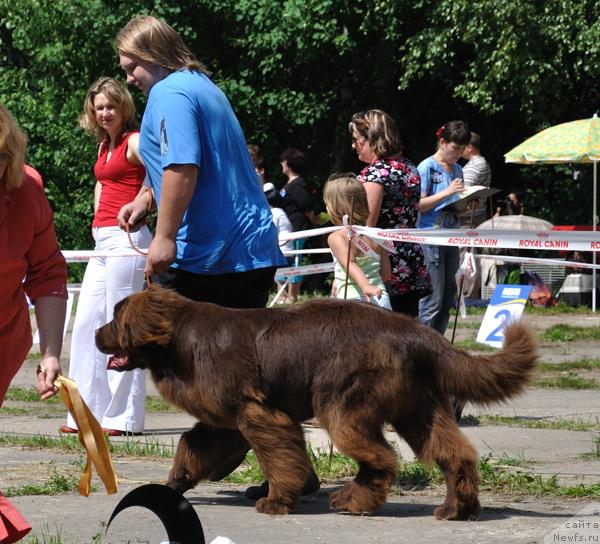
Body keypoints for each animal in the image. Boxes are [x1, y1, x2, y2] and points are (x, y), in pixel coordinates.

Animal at [96, 284, 536, 520]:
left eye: (116, 319)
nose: (97, 334)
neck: (180, 341)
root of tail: (415, 331)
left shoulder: (258, 412)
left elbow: (279, 459)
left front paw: (276, 501)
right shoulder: (227, 419)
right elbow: (192, 444)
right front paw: (175, 484)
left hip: (343, 403)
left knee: (380, 458)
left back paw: (353, 501)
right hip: (417, 407)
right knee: (453, 453)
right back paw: (457, 509)